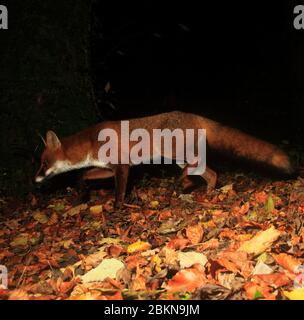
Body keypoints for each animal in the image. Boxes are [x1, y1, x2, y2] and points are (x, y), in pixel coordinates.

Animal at [34, 112, 294, 208]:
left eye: (44, 163)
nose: (35, 179)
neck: (90, 142)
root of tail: (195, 115)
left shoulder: (122, 167)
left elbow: (119, 193)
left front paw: (118, 209)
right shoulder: (110, 168)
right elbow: (82, 174)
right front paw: (81, 191)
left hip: (176, 154)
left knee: (199, 168)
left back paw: (184, 181)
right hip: (178, 157)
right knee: (211, 173)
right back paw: (205, 191)